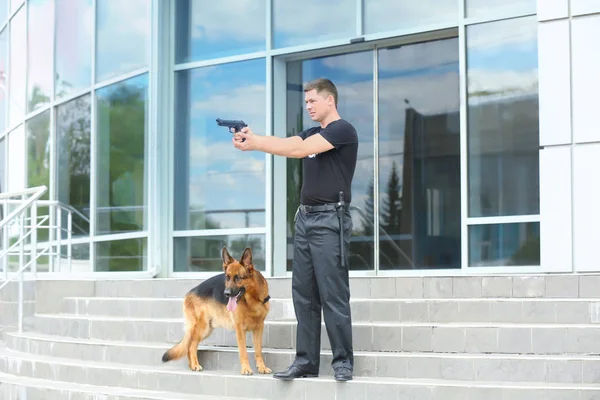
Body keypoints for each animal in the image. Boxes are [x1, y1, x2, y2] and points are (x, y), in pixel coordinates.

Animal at [161, 247, 270, 376]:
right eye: (227, 277)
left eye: (238, 277)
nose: (226, 293)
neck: (252, 300)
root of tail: (189, 293)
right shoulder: (240, 329)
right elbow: (243, 351)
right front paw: (246, 369)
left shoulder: (259, 328)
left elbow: (258, 350)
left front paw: (262, 367)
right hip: (202, 328)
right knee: (191, 346)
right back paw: (195, 365)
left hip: (206, 329)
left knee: (189, 346)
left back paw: (192, 366)